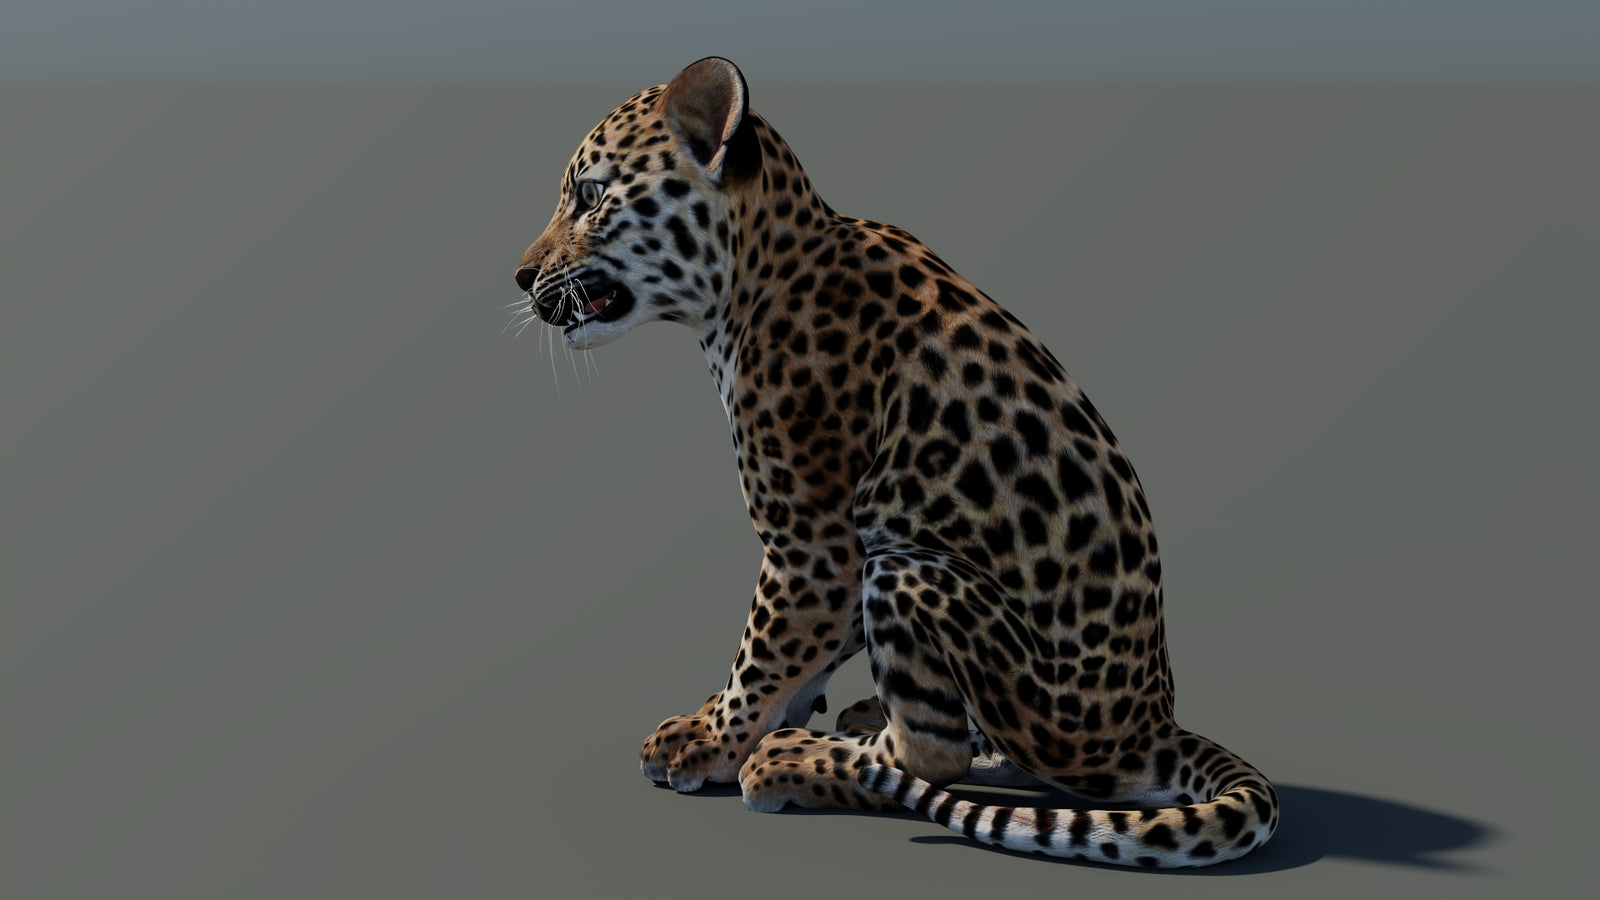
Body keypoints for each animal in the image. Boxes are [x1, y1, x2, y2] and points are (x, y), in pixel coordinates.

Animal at [512, 57, 1278, 867]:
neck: (748, 281)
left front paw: (717, 741)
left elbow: (764, 648)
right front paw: (724, 724)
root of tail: (1151, 722)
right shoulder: (830, 557)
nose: (521, 277)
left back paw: (794, 761)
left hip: (911, 566)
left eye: (591, 196)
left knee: (933, 757)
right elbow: (798, 655)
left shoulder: (814, 541)